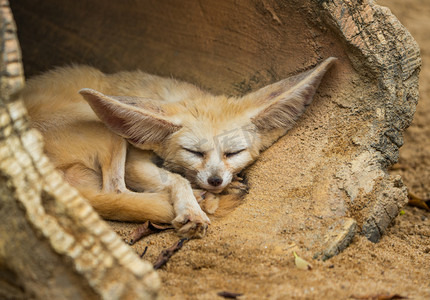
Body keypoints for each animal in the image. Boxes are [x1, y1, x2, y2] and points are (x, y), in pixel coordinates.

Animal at [20, 57, 336, 238]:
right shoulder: (134, 160)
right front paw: (191, 208)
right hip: (107, 132)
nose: (215, 180)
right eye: (194, 152)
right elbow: (177, 178)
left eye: (233, 153)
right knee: (115, 192)